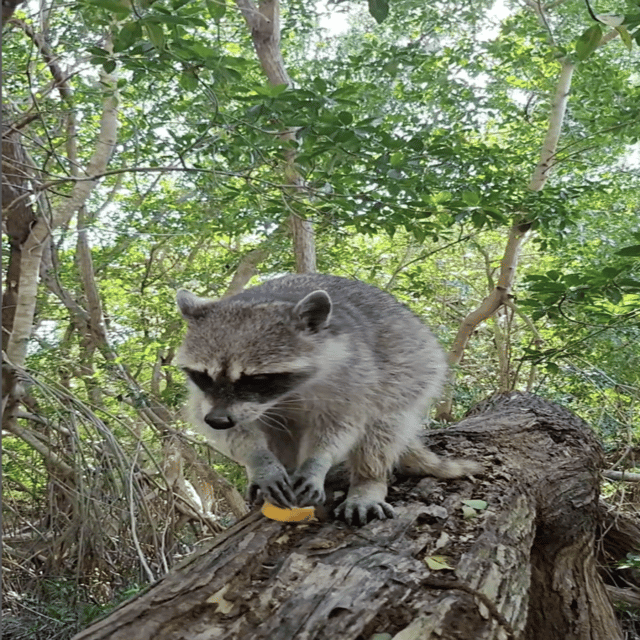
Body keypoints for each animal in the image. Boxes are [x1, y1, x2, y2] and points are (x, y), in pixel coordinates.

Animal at [175, 274, 480, 524]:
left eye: (256, 379)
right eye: (203, 376)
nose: (218, 420)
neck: (286, 393)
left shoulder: (355, 377)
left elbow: (342, 426)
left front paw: (317, 462)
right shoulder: (209, 399)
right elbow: (227, 426)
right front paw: (259, 461)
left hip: (415, 372)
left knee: (382, 430)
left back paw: (368, 482)